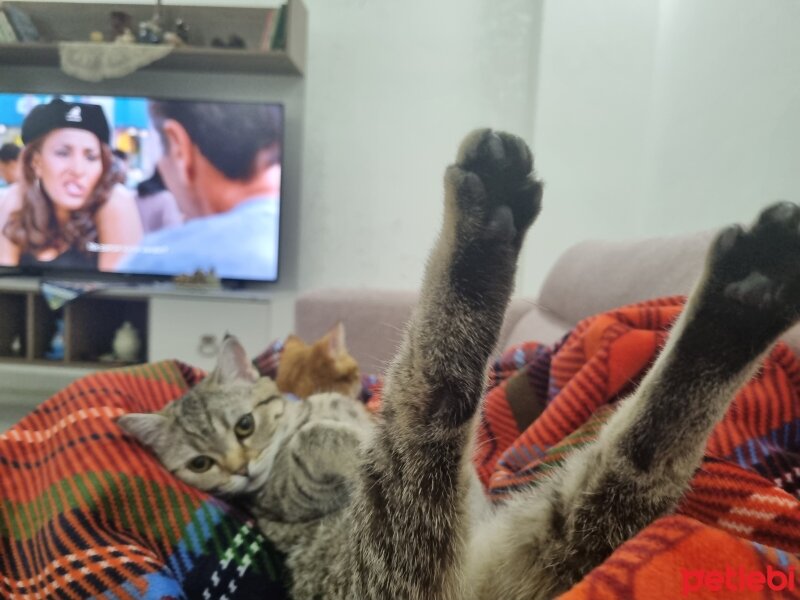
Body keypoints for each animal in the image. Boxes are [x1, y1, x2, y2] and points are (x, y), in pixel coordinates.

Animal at [117, 131, 800, 600]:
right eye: (200, 465)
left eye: (243, 426)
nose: (239, 467)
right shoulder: (287, 497)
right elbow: (321, 451)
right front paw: (328, 443)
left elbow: (331, 422)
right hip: (404, 530)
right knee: (434, 394)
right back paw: (484, 229)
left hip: (559, 524)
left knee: (640, 461)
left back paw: (747, 296)